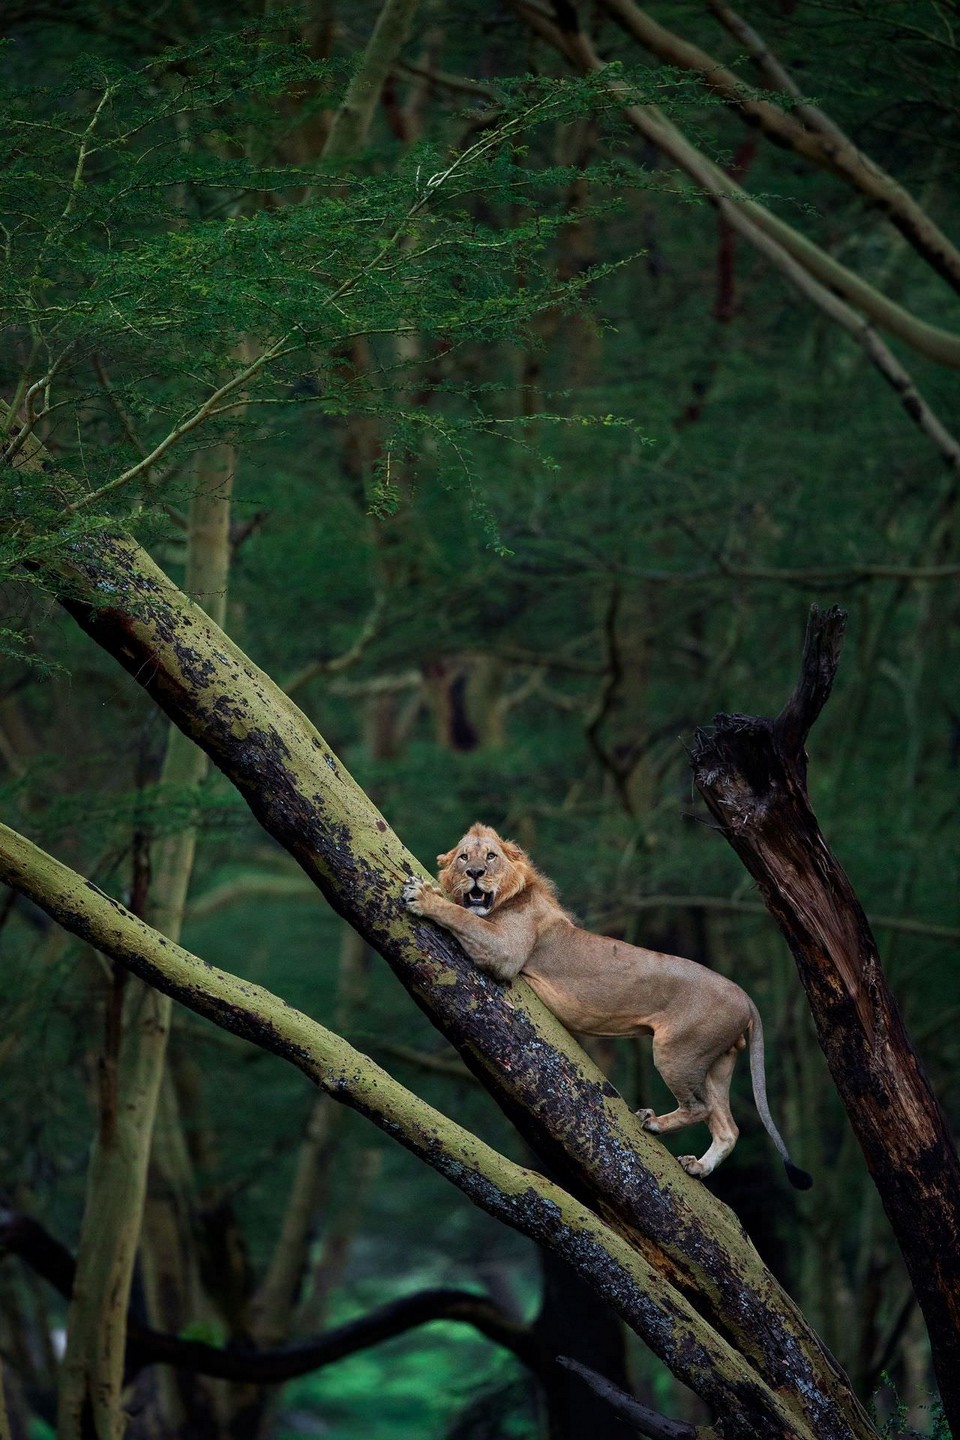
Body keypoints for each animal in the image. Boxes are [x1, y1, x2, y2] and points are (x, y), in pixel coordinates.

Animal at [402, 829, 811, 1186]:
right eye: (463, 857)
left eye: (491, 857)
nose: (475, 873)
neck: (511, 898)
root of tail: (746, 997)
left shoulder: (506, 953)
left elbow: (462, 917)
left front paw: (423, 897)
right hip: (717, 1061)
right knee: (728, 1126)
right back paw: (698, 1166)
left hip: (677, 1050)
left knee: (701, 1108)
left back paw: (654, 1122)